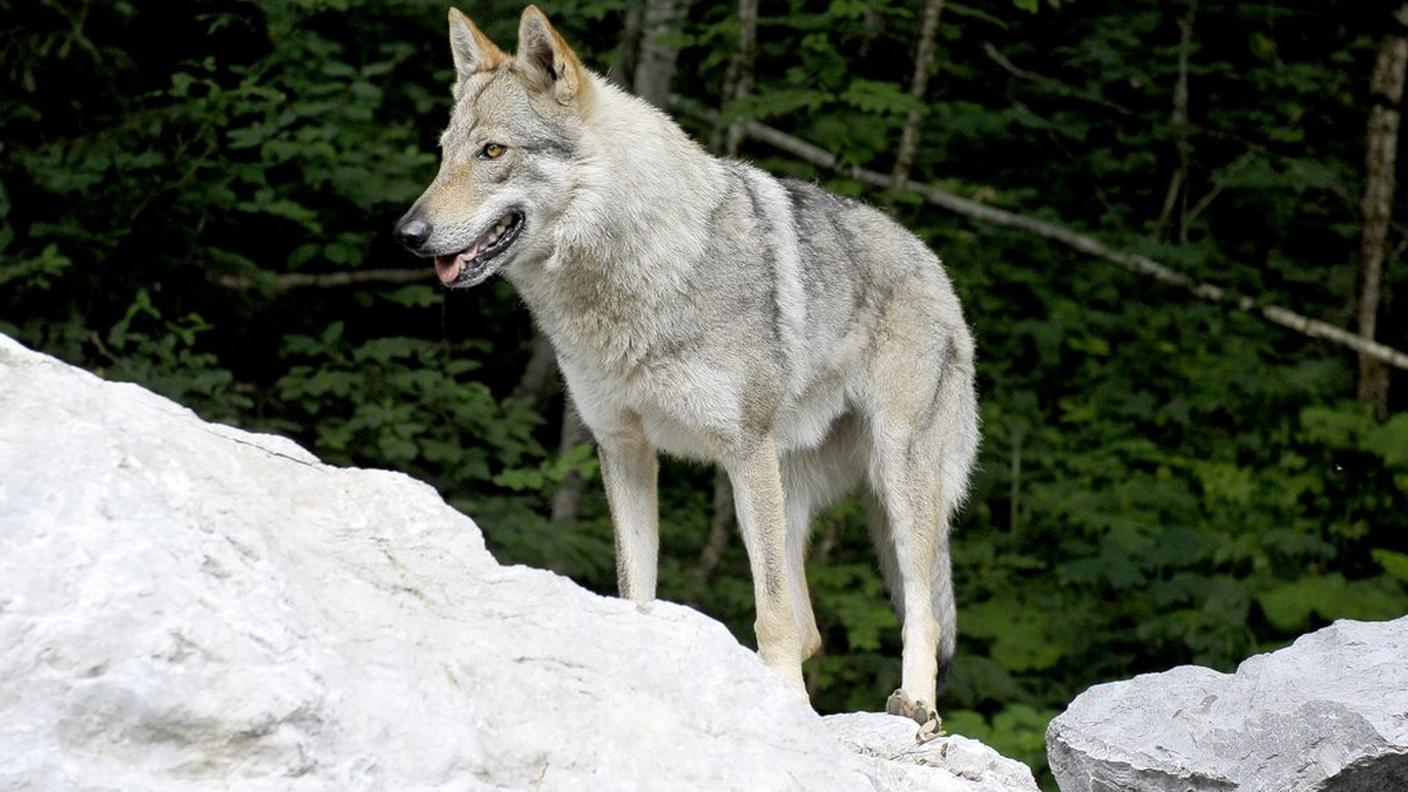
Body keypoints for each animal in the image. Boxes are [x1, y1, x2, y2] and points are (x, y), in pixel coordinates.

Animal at [395, 5, 979, 727]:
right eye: (445, 153)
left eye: (494, 152)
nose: (407, 234)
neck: (638, 280)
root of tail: (933, 264)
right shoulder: (622, 450)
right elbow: (637, 591)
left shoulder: (743, 450)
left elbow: (771, 615)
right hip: (788, 488)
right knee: (814, 627)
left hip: (892, 480)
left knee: (918, 611)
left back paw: (914, 706)